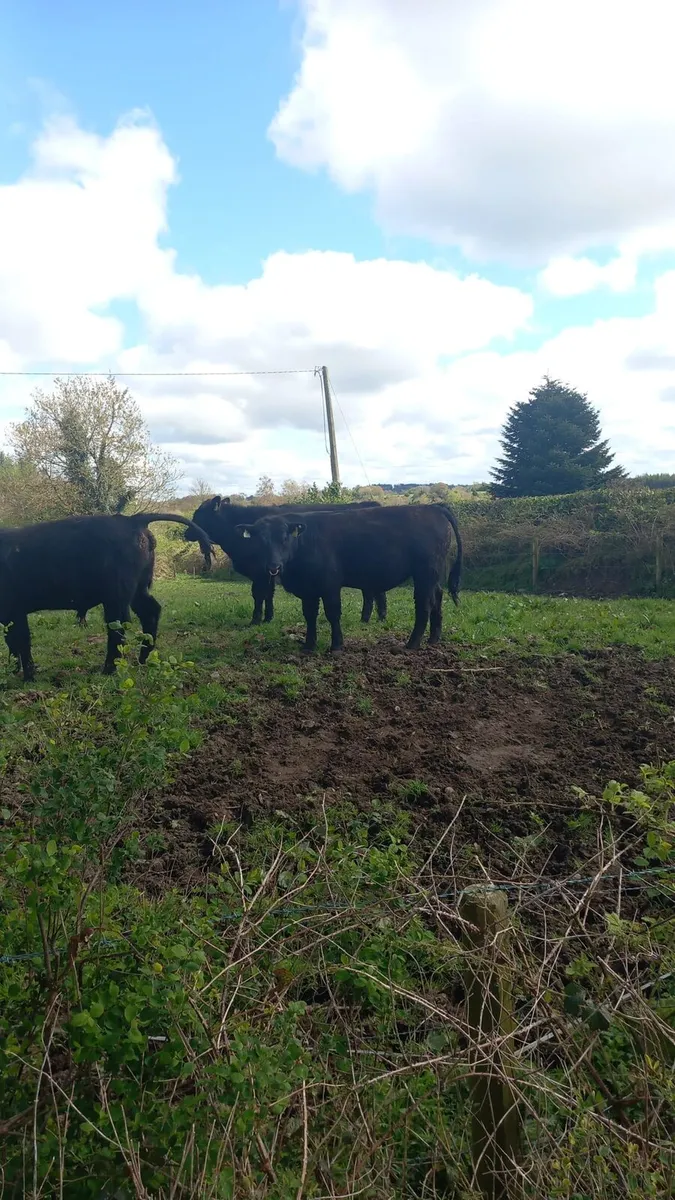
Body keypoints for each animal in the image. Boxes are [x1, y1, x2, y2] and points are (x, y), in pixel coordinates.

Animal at [0, 512, 213, 681]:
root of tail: (132, 520)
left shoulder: (15, 610)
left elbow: (21, 640)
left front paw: (28, 677)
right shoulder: (10, 614)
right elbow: (11, 640)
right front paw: (14, 670)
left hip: (116, 596)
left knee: (118, 627)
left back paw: (109, 669)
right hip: (138, 590)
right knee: (150, 611)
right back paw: (141, 660)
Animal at [185, 496, 388, 626]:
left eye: (198, 515)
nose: (185, 533)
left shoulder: (259, 571)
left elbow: (258, 594)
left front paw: (255, 620)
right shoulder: (269, 569)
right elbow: (269, 594)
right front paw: (268, 618)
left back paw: (371, 618)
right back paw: (374, 618)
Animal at [233, 504, 462, 652]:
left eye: (284, 538)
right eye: (260, 540)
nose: (274, 566)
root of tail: (432, 508)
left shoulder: (330, 584)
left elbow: (333, 613)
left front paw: (336, 646)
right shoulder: (308, 589)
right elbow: (310, 615)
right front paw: (308, 645)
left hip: (425, 573)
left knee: (424, 605)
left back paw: (411, 645)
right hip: (434, 575)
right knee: (437, 598)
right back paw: (433, 639)